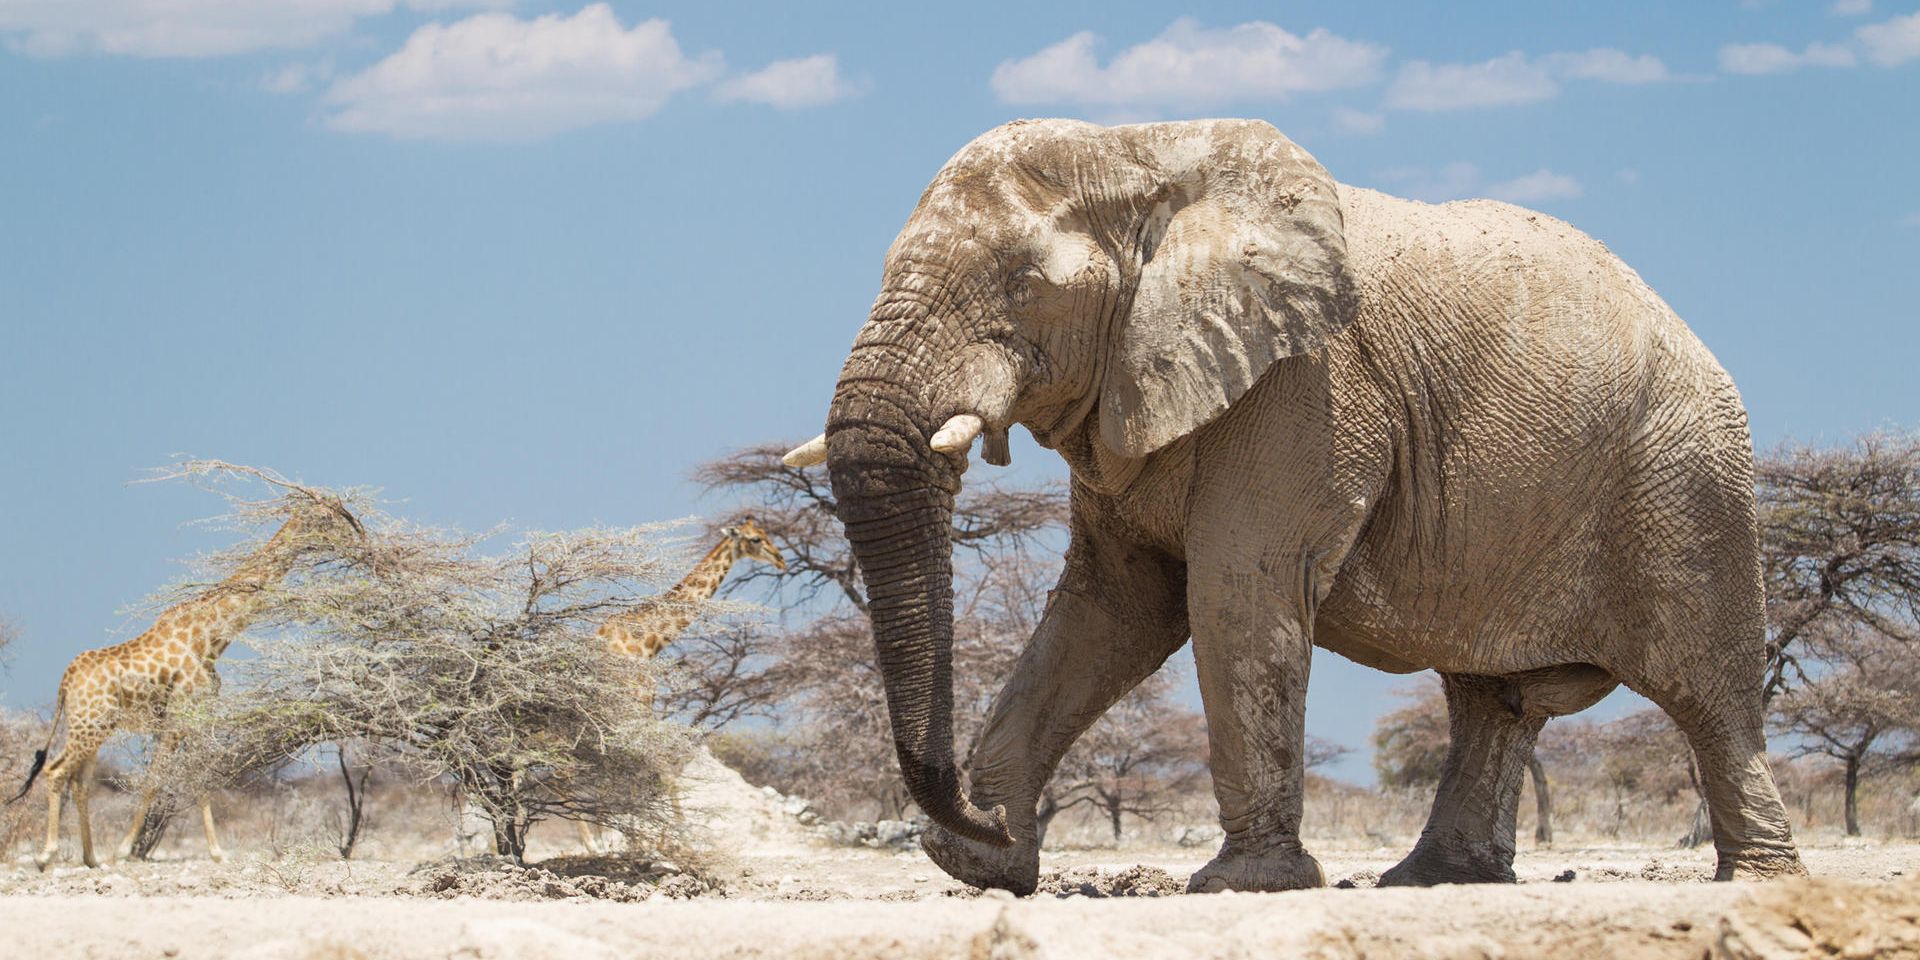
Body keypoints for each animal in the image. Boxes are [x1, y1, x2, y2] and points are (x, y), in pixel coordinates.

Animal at [782, 117, 1806, 894]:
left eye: (1023, 285)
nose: (974, 808)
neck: (1142, 154)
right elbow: (1111, 608)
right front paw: (982, 863)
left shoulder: (1306, 389)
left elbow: (1236, 594)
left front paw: (1243, 885)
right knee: (1493, 699)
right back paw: (1436, 881)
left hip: (1687, 480)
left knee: (1708, 690)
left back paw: (1757, 879)